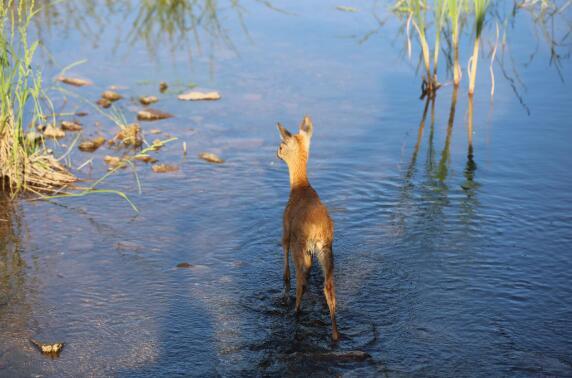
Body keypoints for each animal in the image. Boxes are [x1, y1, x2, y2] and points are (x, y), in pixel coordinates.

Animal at [278, 114, 340, 340]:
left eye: (281, 144)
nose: (276, 152)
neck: (300, 187)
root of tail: (317, 229)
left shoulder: (285, 230)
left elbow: (285, 266)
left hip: (301, 247)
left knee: (301, 281)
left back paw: (295, 312)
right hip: (326, 250)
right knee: (329, 287)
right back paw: (335, 334)